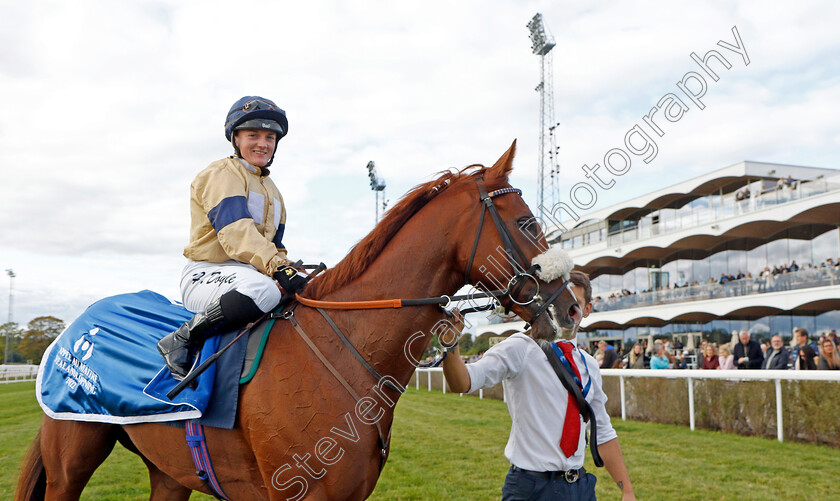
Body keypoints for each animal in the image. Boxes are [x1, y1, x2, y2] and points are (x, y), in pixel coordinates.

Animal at [16, 142, 580, 500]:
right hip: (71, 462)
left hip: (169, 471)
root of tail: (73, 330)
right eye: (527, 222)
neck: (342, 354)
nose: (572, 307)